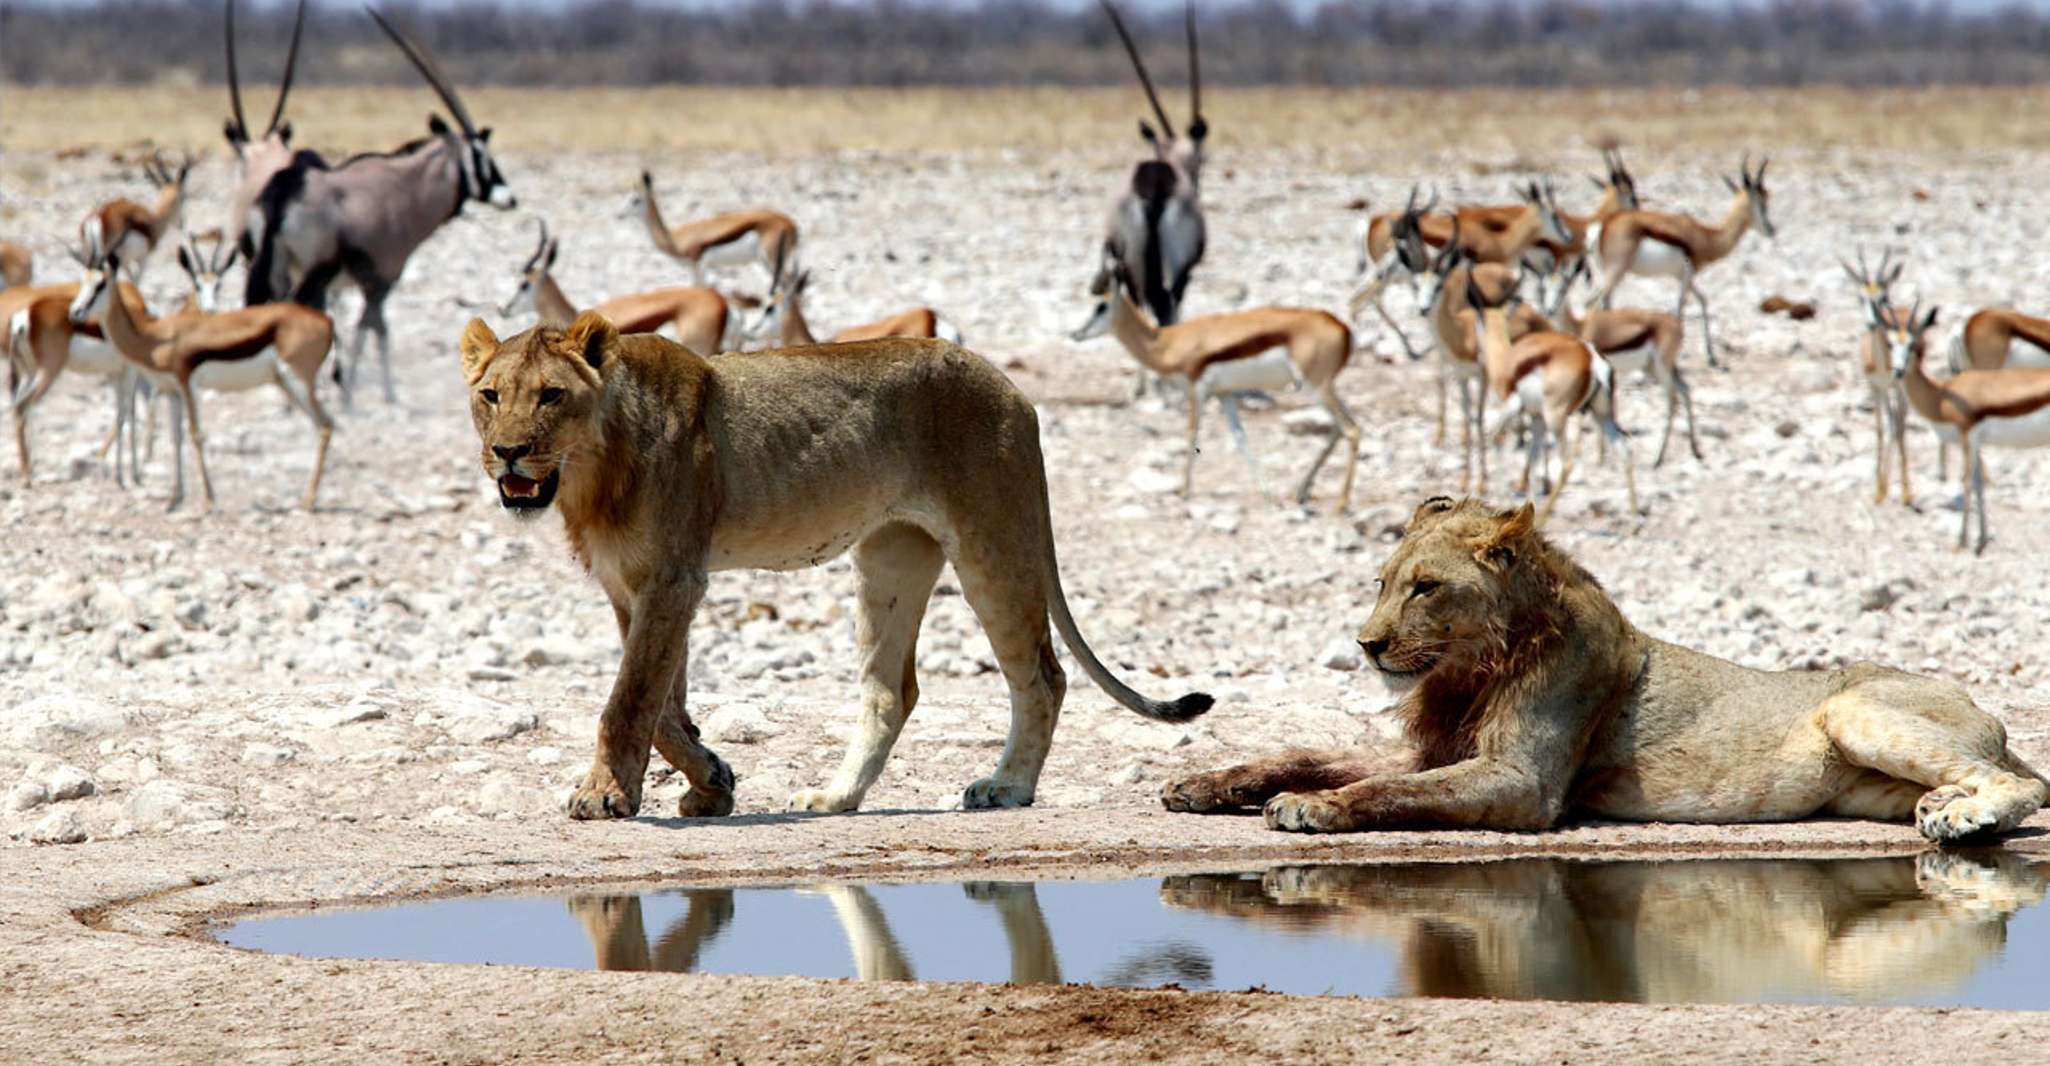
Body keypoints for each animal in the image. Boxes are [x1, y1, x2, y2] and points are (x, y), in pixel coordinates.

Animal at [457, 311, 1205, 820]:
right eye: (491, 395)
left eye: (552, 395)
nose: (508, 452)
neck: (589, 475)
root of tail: (1010, 385)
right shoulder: (633, 587)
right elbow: (664, 705)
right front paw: (711, 780)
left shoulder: (674, 579)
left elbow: (629, 700)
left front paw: (605, 794)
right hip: (890, 560)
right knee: (892, 690)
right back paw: (837, 796)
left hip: (994, 542)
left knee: (1043, 676)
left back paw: (1008, 787)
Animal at [1164, 494, 2041, 840]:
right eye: (1381, 582)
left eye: (1425, 587)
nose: (1367, 644)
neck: (1472, 668)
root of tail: (1991, 712)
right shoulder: (1433, 747)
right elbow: (1305, 753)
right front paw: (1203, 784)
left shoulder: (1523, 783)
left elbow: (1387, 791)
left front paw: (1309, 809)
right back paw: (1944, 809)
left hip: (1855, 708)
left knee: (2027, 785)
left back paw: (1963, 820)